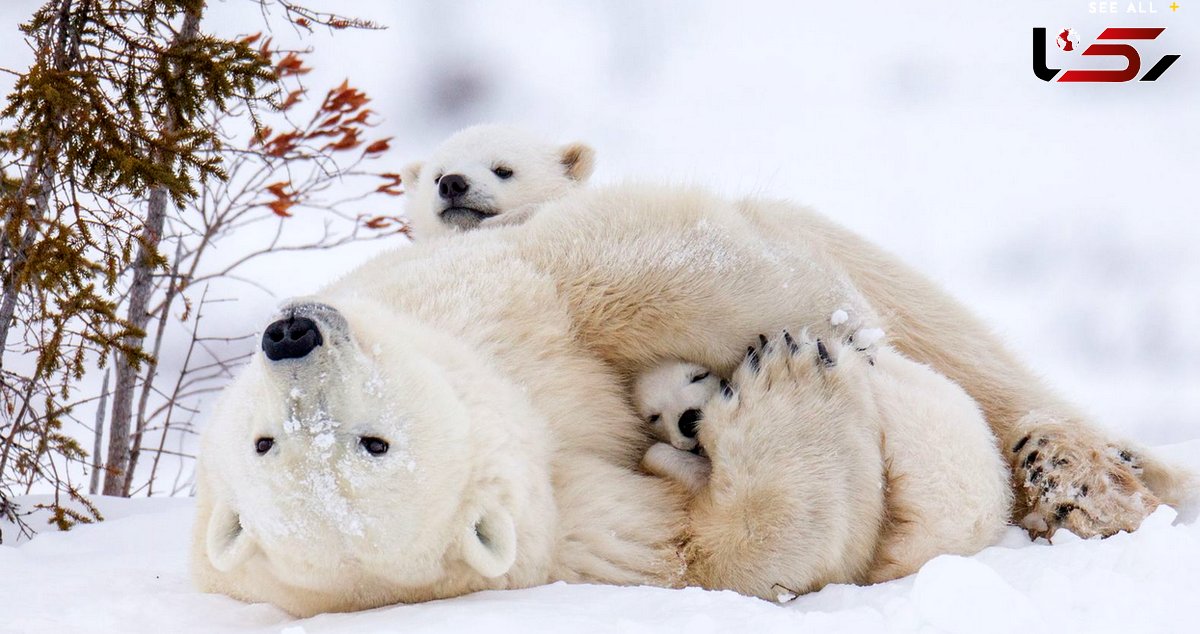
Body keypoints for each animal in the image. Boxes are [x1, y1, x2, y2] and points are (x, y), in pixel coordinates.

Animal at [192, 182, 1195, 614]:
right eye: (277, 446)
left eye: (369, 442)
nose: (290, 336)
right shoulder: (578, 536)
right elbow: (722, 552)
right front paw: (788, 382)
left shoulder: (474, 301)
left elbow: (609, 269)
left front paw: (828, 326)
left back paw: (1088, 474)